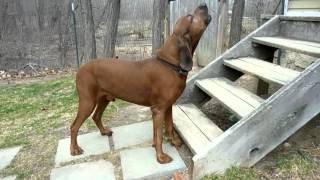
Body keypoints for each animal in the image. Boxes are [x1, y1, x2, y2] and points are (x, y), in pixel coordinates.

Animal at [69, 3, 210, 164]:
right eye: (191, 17)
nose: (204, 4)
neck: (170, 65)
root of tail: (80, 69)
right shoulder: (158, 110)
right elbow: (159, 135)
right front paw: (161, 157)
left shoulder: (168, 106)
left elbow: (168, 127)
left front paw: (173, 142)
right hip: (88, 102)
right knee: (74, 126)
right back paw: (74, 149)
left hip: (104, 99)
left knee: (96, 117)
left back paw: (104, 131)